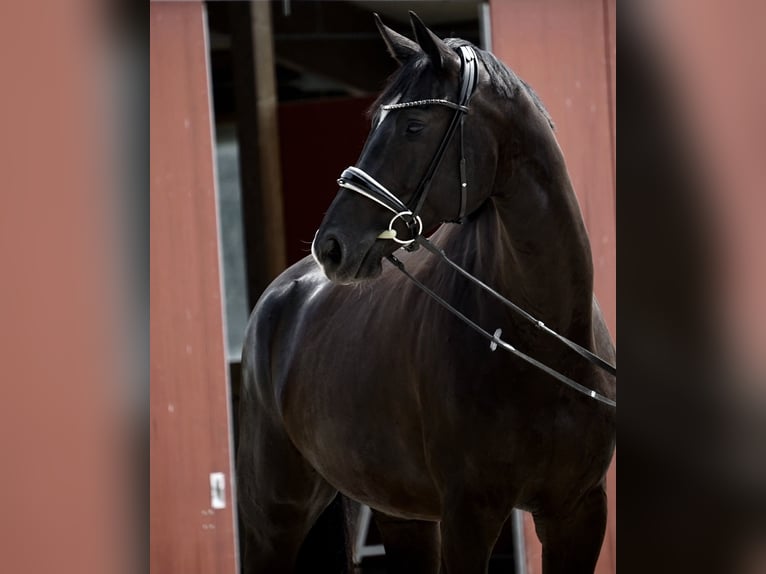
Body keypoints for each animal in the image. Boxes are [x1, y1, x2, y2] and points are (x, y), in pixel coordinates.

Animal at [236, 12, 616, 574]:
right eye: (374, 122)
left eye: (413, 127)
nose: (331, 245)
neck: (538, 338)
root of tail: (280, 295)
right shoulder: (469, 514)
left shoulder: (578, 513)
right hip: (273, 521)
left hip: (402, 517)